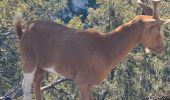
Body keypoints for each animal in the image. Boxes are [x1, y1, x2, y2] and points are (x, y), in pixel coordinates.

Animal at [12, 0, 169, 99]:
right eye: (156, 27)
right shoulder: (82, 81)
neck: (105, 48)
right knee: (25, 86)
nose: (162, 47)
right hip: (28, 60)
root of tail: (23, 31)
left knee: (37, 84)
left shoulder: (87, 85)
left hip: (41, 67)